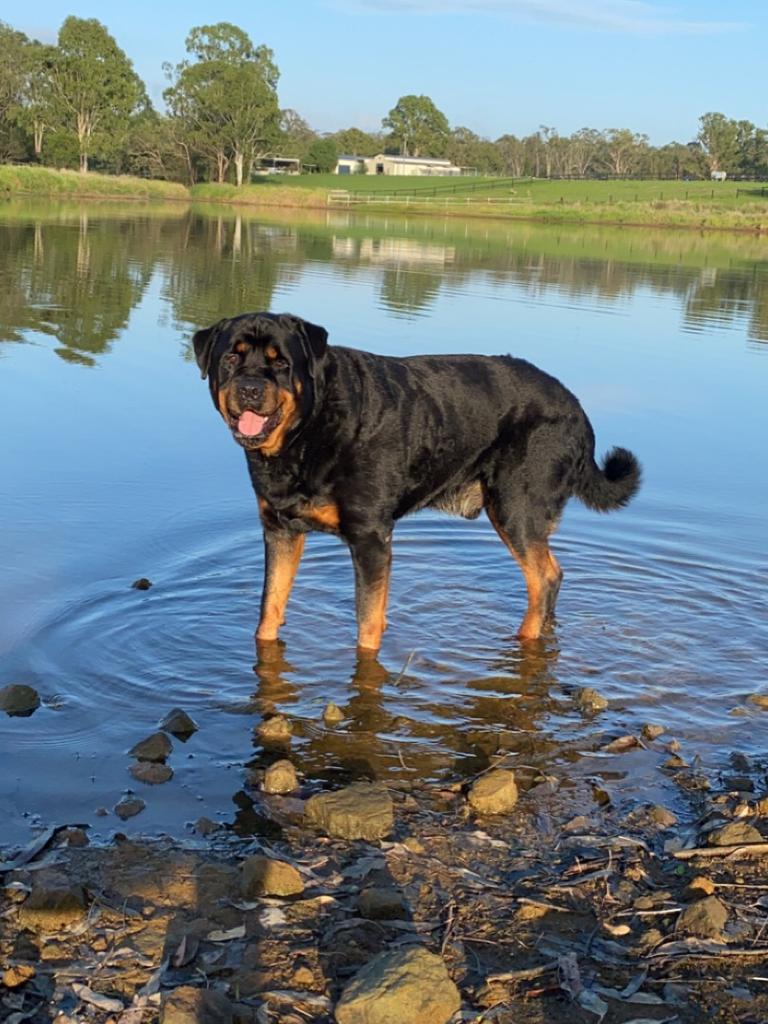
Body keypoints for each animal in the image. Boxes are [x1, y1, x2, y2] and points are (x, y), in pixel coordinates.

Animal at [193, 307, 643, 651]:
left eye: (281, 363)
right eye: (230, 358)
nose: (251, 389)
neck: (306, 433)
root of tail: (577, 408)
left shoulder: (370, 536)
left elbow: (368, 621)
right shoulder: (280, 530)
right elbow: (268, 610)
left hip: (516, 508)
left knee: (545, 577)